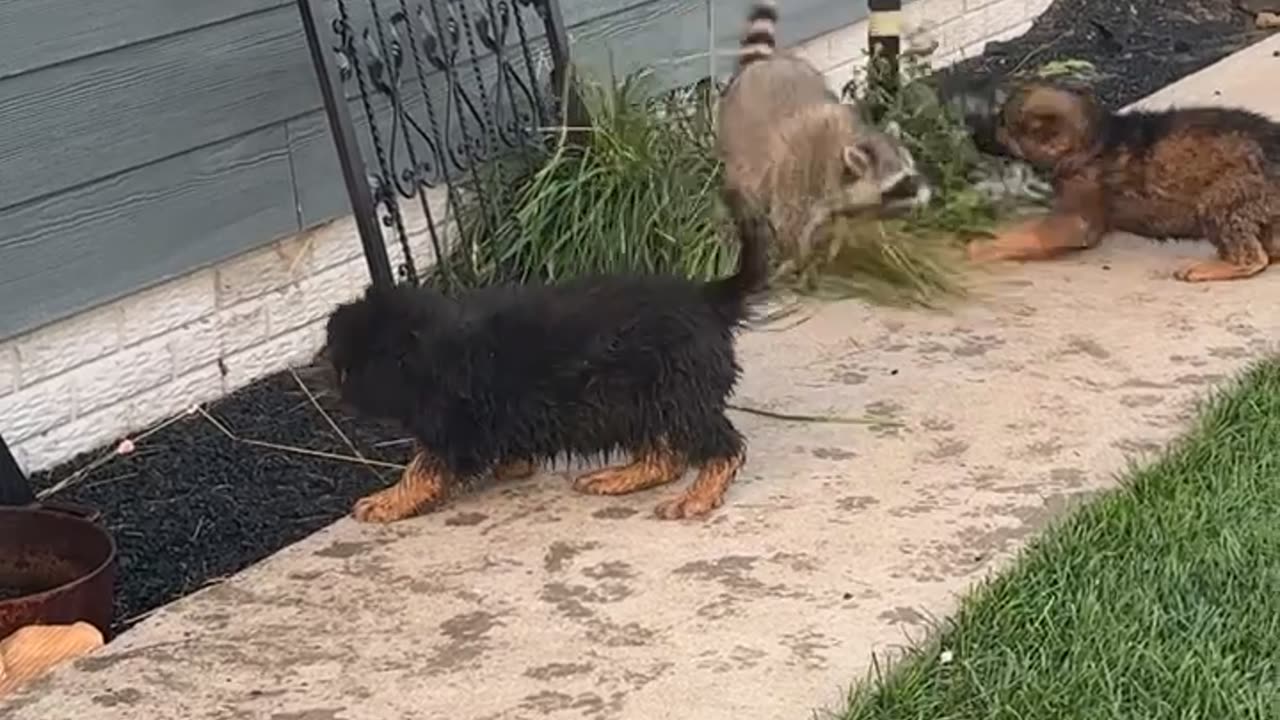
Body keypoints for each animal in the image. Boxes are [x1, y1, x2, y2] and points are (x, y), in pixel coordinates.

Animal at [325, 198, 768, 517]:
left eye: (350, 369)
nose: (339, 396)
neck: (434, 349)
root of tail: (707, 299)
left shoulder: (455, 428)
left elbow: (422, 468)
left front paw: (388, 501)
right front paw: (512, 465)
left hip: (675, 395)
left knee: (723, 446)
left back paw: (698, 496)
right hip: (637, 402)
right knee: (665, 457)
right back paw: (620, 477)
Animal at [716, 0, 936, 278]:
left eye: (912, 171)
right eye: (901, 182)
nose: (928, 195)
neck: (851, 141)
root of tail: (759, 67)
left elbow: (841, 221)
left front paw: (834, 246)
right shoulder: (800, 178)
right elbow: (789, 223)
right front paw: (797, 262)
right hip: (738, 142)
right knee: (750, 188)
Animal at [967, 80, 1280, 278]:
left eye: (1003, 125)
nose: (972, 134)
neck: (1093, 140)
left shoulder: (1076, 220)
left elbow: (1026, 235)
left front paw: (979, 248)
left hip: (1221, 198)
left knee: (1254, 259)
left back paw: (1211, 267)